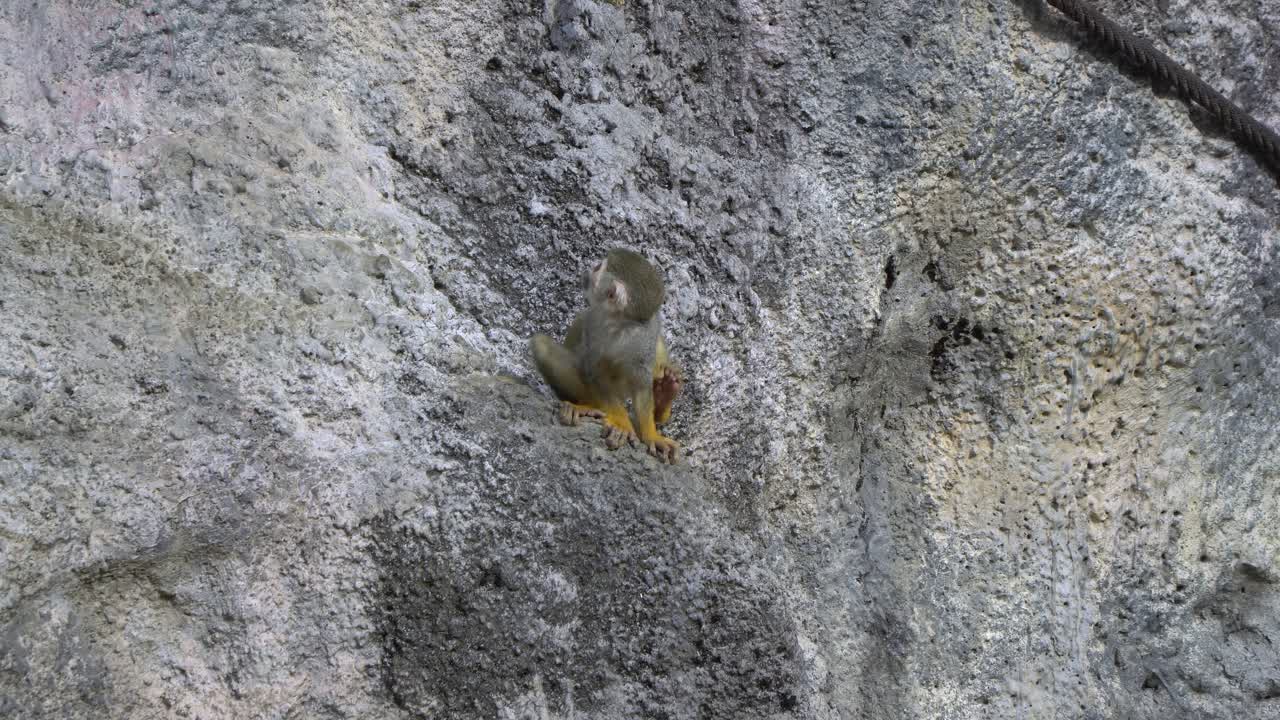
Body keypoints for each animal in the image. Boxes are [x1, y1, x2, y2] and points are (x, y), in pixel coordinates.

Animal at [531, 248, 681, 463]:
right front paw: (622, 424)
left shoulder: (644, 333)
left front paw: (652, 435)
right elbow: (595, 373)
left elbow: (641, 383)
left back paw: (663, 396)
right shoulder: (594, 321)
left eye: (597, 269)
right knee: (543, 346)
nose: (586, 274)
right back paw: (585, 406)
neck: (619, 325)